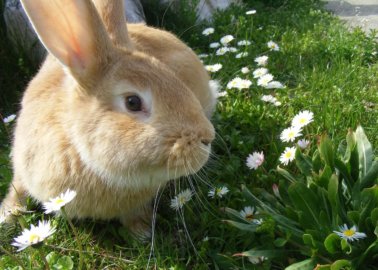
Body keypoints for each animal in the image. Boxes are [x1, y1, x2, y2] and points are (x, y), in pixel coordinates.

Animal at [0, 0, 216, 235]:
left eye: (175, 78)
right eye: (133, 102)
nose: (208, 137)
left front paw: (142, 232)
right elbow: (18, 189)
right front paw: (7, 216)